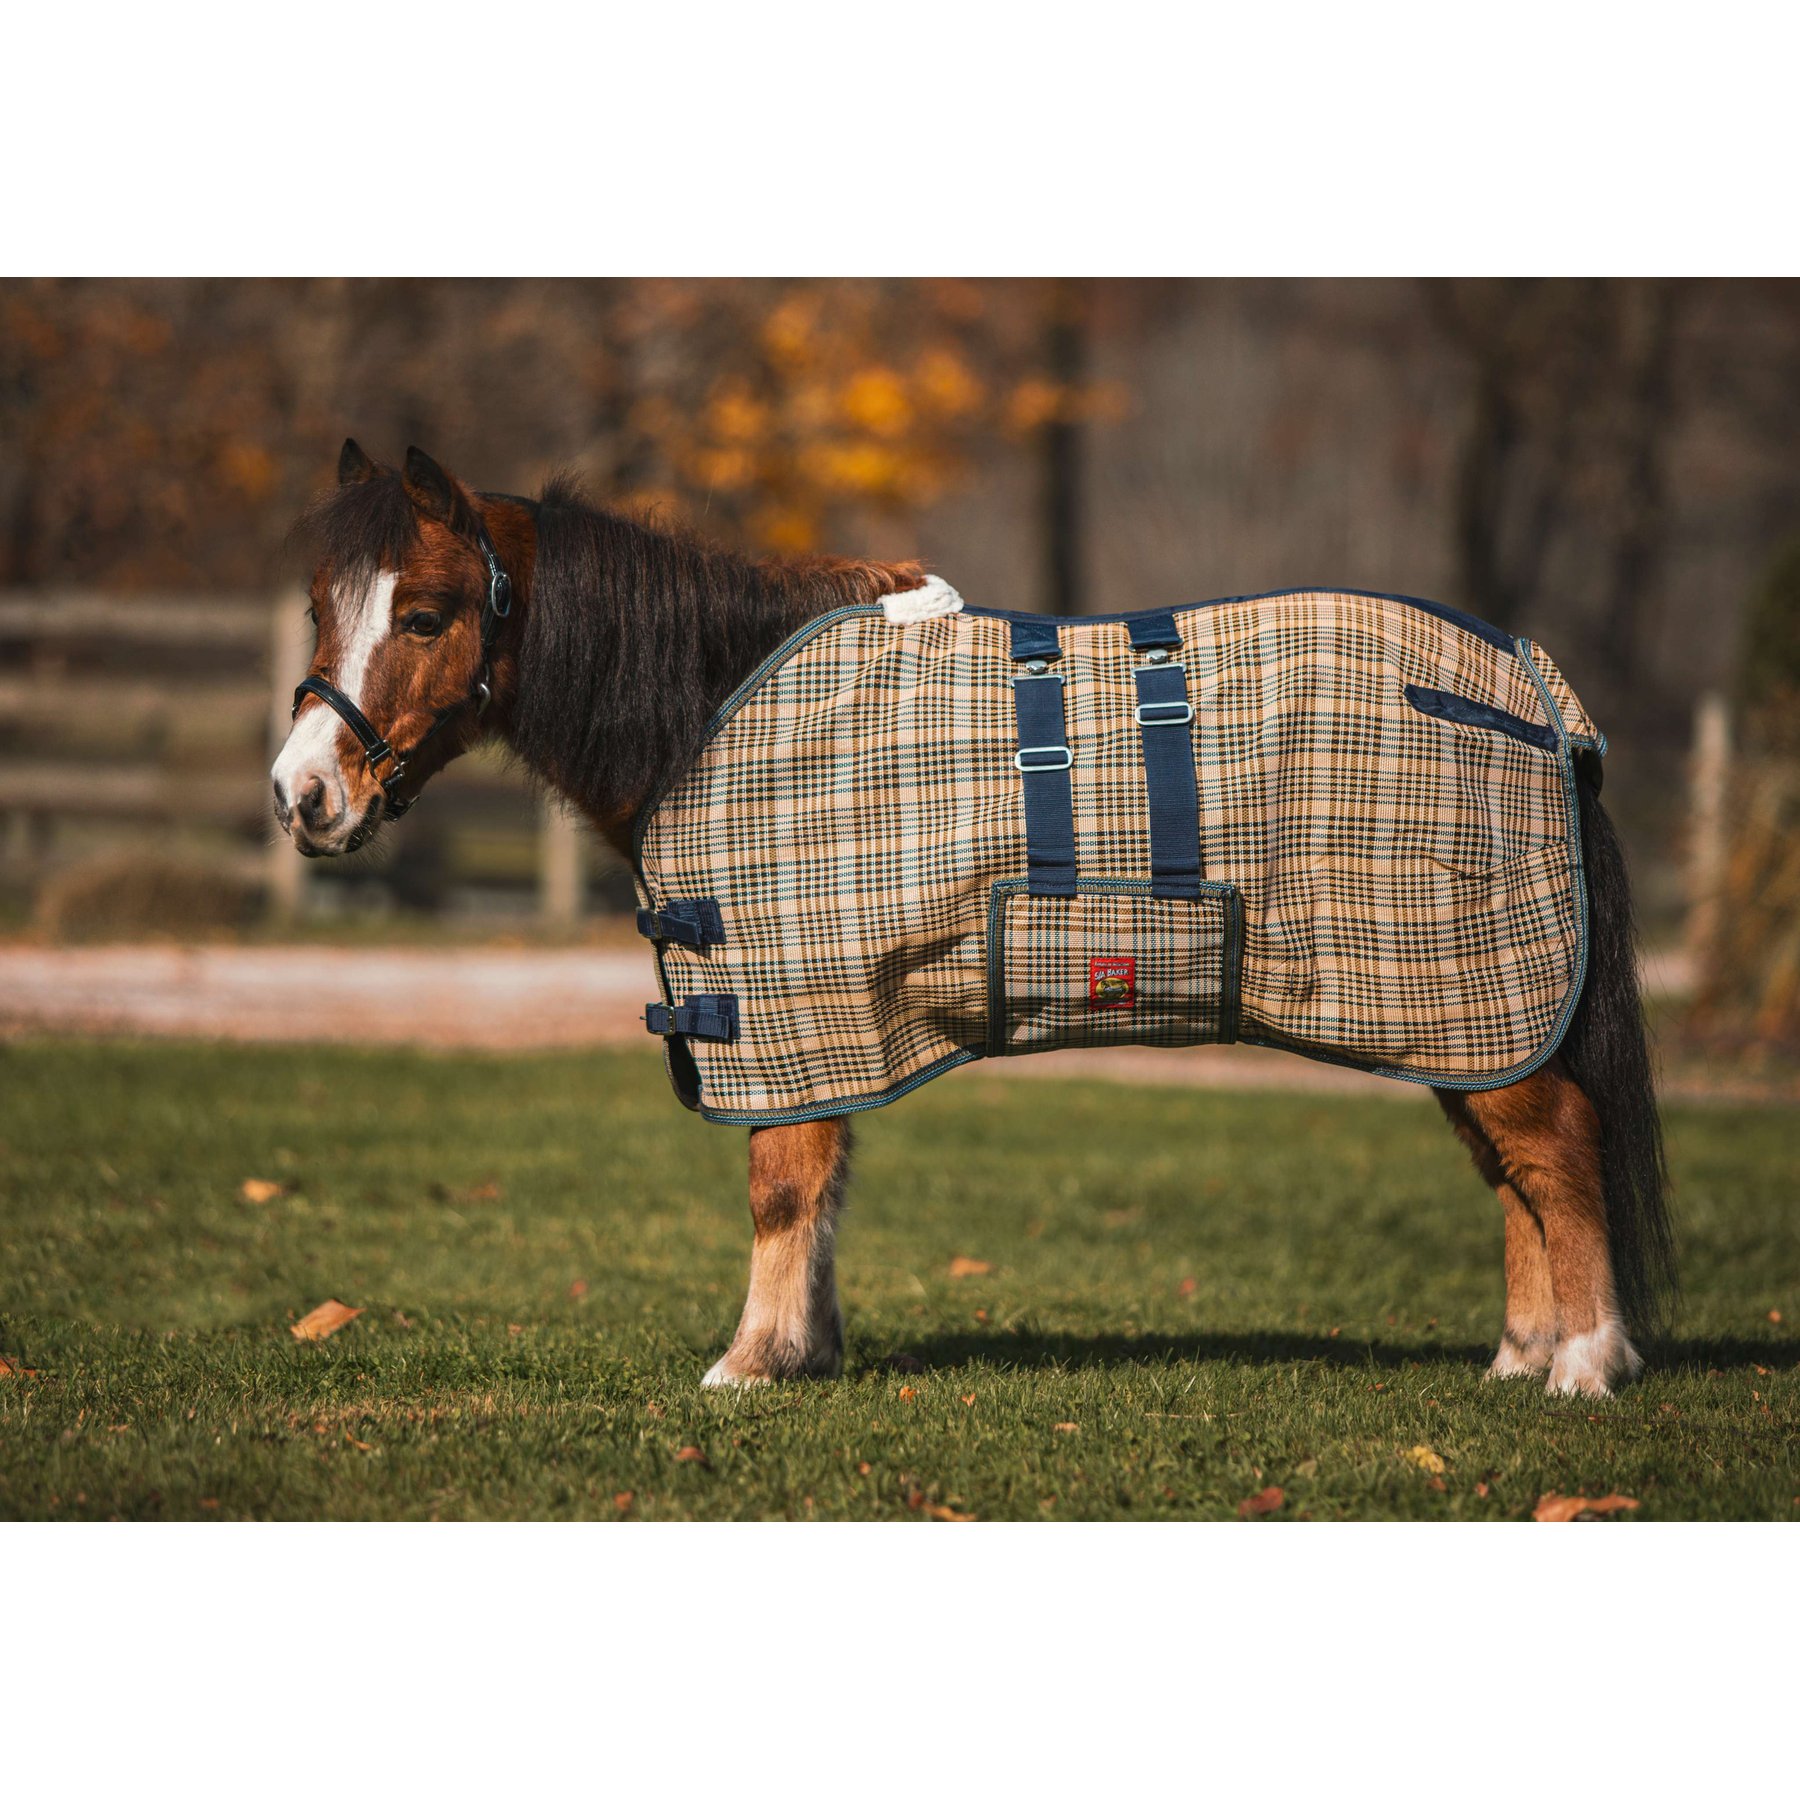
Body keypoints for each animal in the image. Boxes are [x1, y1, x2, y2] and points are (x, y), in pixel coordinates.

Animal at [271, 439, 1675, 1399]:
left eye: (427, 614)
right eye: (322, 607)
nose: (302, 796)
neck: (713, 707)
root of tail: (1534, 693)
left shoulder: (796, 997)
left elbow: (783, 1183)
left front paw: (749, 1361)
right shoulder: (833, 1013)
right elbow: (825, 1183)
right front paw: (807, 1349)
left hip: (1470, 988)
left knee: (1559, 1150)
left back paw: (1586, 1363)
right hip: (1457, 1013)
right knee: (1514, 1169)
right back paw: (1522, 1353)